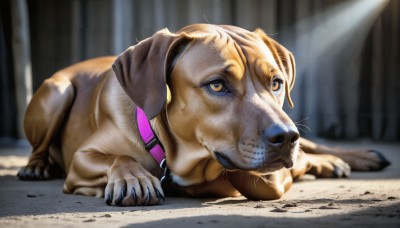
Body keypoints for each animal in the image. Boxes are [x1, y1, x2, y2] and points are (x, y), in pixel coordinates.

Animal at [17, 24, 390, 206]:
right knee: (38, 147)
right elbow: (118, 158)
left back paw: (352, 157)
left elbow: (262, 175)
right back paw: (35, 167)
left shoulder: (269, 170)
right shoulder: (82, 158)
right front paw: (132, 178)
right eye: (217, 85)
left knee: (309, 152)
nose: (285, 137)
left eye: (276, 82)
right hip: (56, 93)